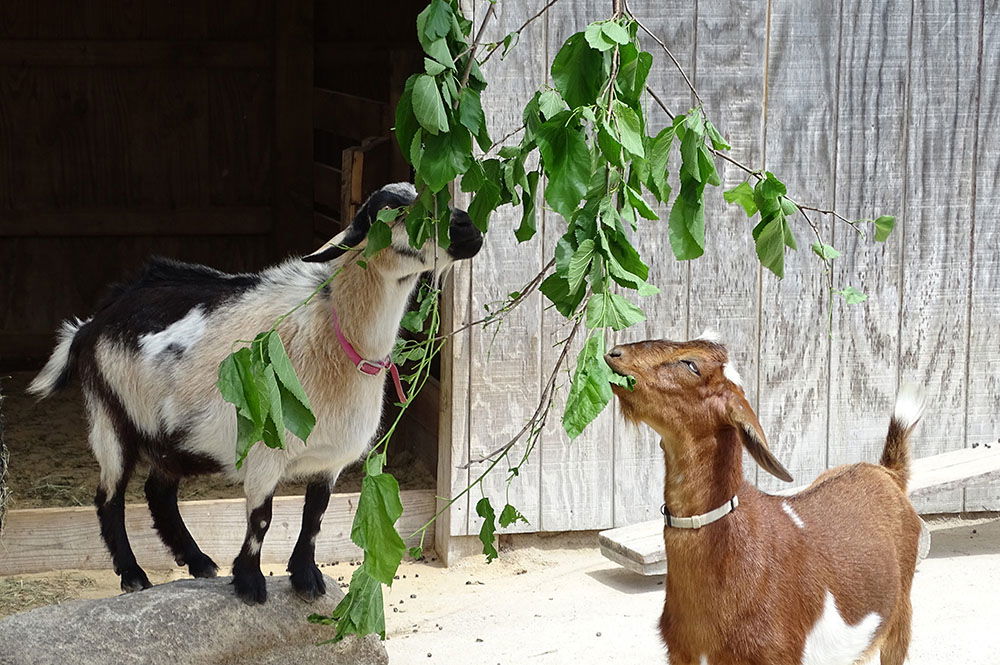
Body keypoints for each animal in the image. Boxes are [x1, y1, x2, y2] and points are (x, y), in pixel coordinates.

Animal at [29, 183, 482, 600]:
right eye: (395, 213)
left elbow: (314, 516)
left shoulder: (329, 460)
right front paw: (249, 584)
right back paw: (134, 575)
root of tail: (93, 323)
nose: (470, 230)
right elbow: (261, 517)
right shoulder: (266, 453)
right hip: (111, 417)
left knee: (159, 494)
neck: (331, 333)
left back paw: (198, 562)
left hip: (174, 435)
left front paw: (306, 579)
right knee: (109, 498)